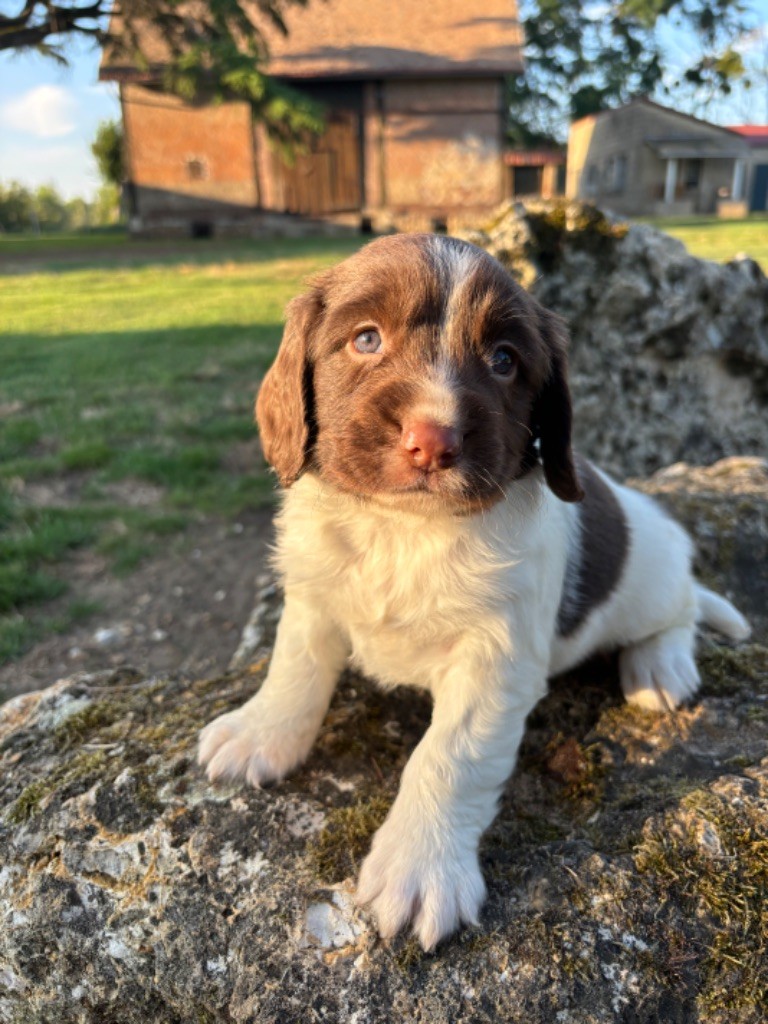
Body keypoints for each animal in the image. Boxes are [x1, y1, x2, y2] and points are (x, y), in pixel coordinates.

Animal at [198, 232, 753, 950]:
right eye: (366, 338)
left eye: (504, 360)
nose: (432, 440)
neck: (403, 531)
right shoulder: (316, 590)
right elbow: (294, 667)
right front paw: (261, 732)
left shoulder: (495, 658)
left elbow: (448, 755)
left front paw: (420, 865)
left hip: (650, 579)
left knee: (681, 605)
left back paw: (659, 665)